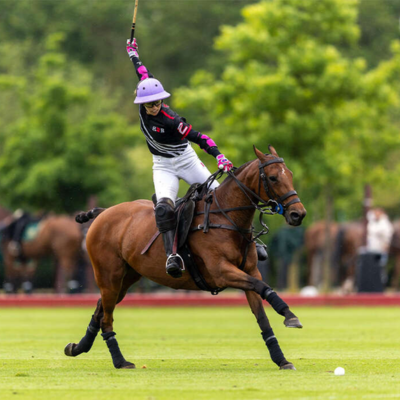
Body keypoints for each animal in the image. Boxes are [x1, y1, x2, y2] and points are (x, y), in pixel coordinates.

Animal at [65, 145, 306, 370]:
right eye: (273, 177)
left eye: (291, 174)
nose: (298, 214)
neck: (227, 219)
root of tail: (103, 212)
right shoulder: (221, 271)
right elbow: (263, 286)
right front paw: (289, 315)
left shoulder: (249, 270)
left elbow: (262, 314)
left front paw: (282, 359)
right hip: (108, 275)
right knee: (107, 318)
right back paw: (119, 361)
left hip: (126, 278)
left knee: (100, 310)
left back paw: (77, 347)